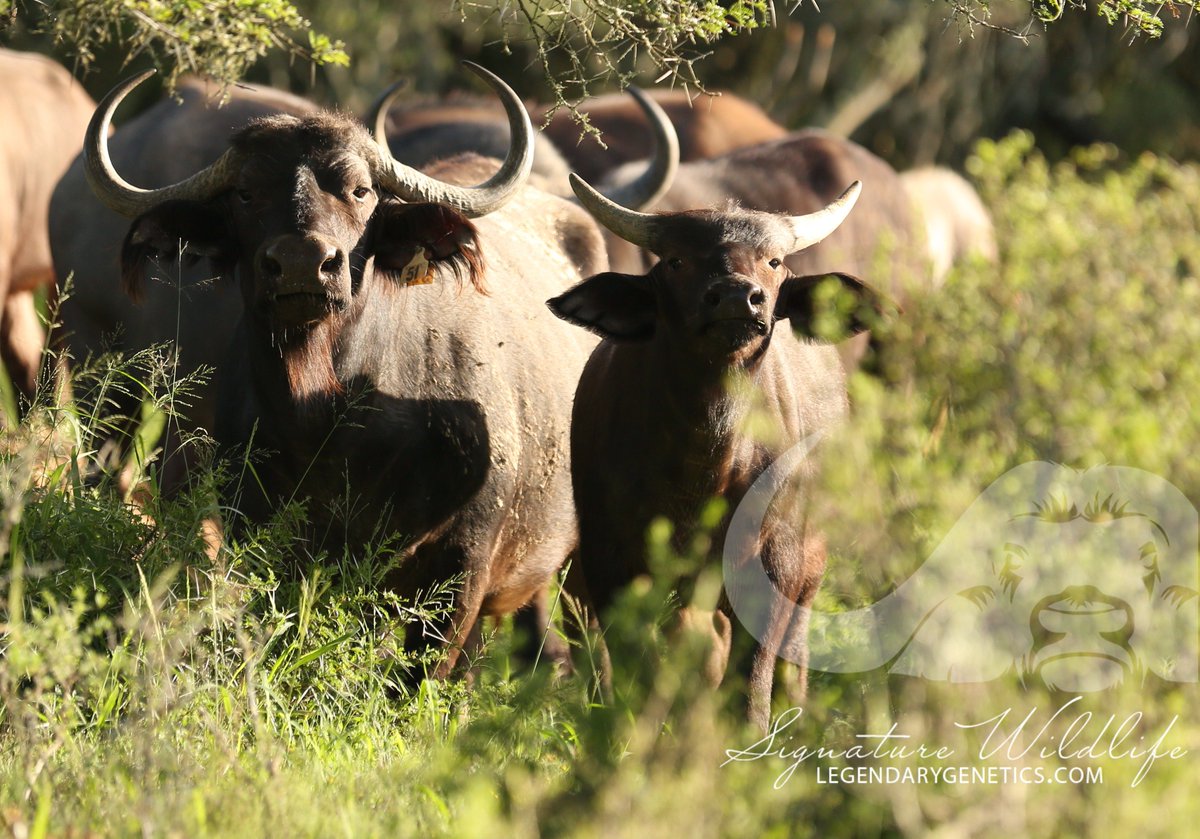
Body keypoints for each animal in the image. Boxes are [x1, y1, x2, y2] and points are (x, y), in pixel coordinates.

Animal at [83, 65, 608, 677]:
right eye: (245, 192)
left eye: (360, 190)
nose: (302, 263)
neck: (332, 419)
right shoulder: (261, 534)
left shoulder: (463, 560)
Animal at [548, 175, 889, 728]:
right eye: (676, 261)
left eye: (774, 260)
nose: (736, 298)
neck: (703, 465)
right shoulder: (609, 561)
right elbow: (638, 666)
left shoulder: (772, 566)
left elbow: (751, 677)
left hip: (810, 569)